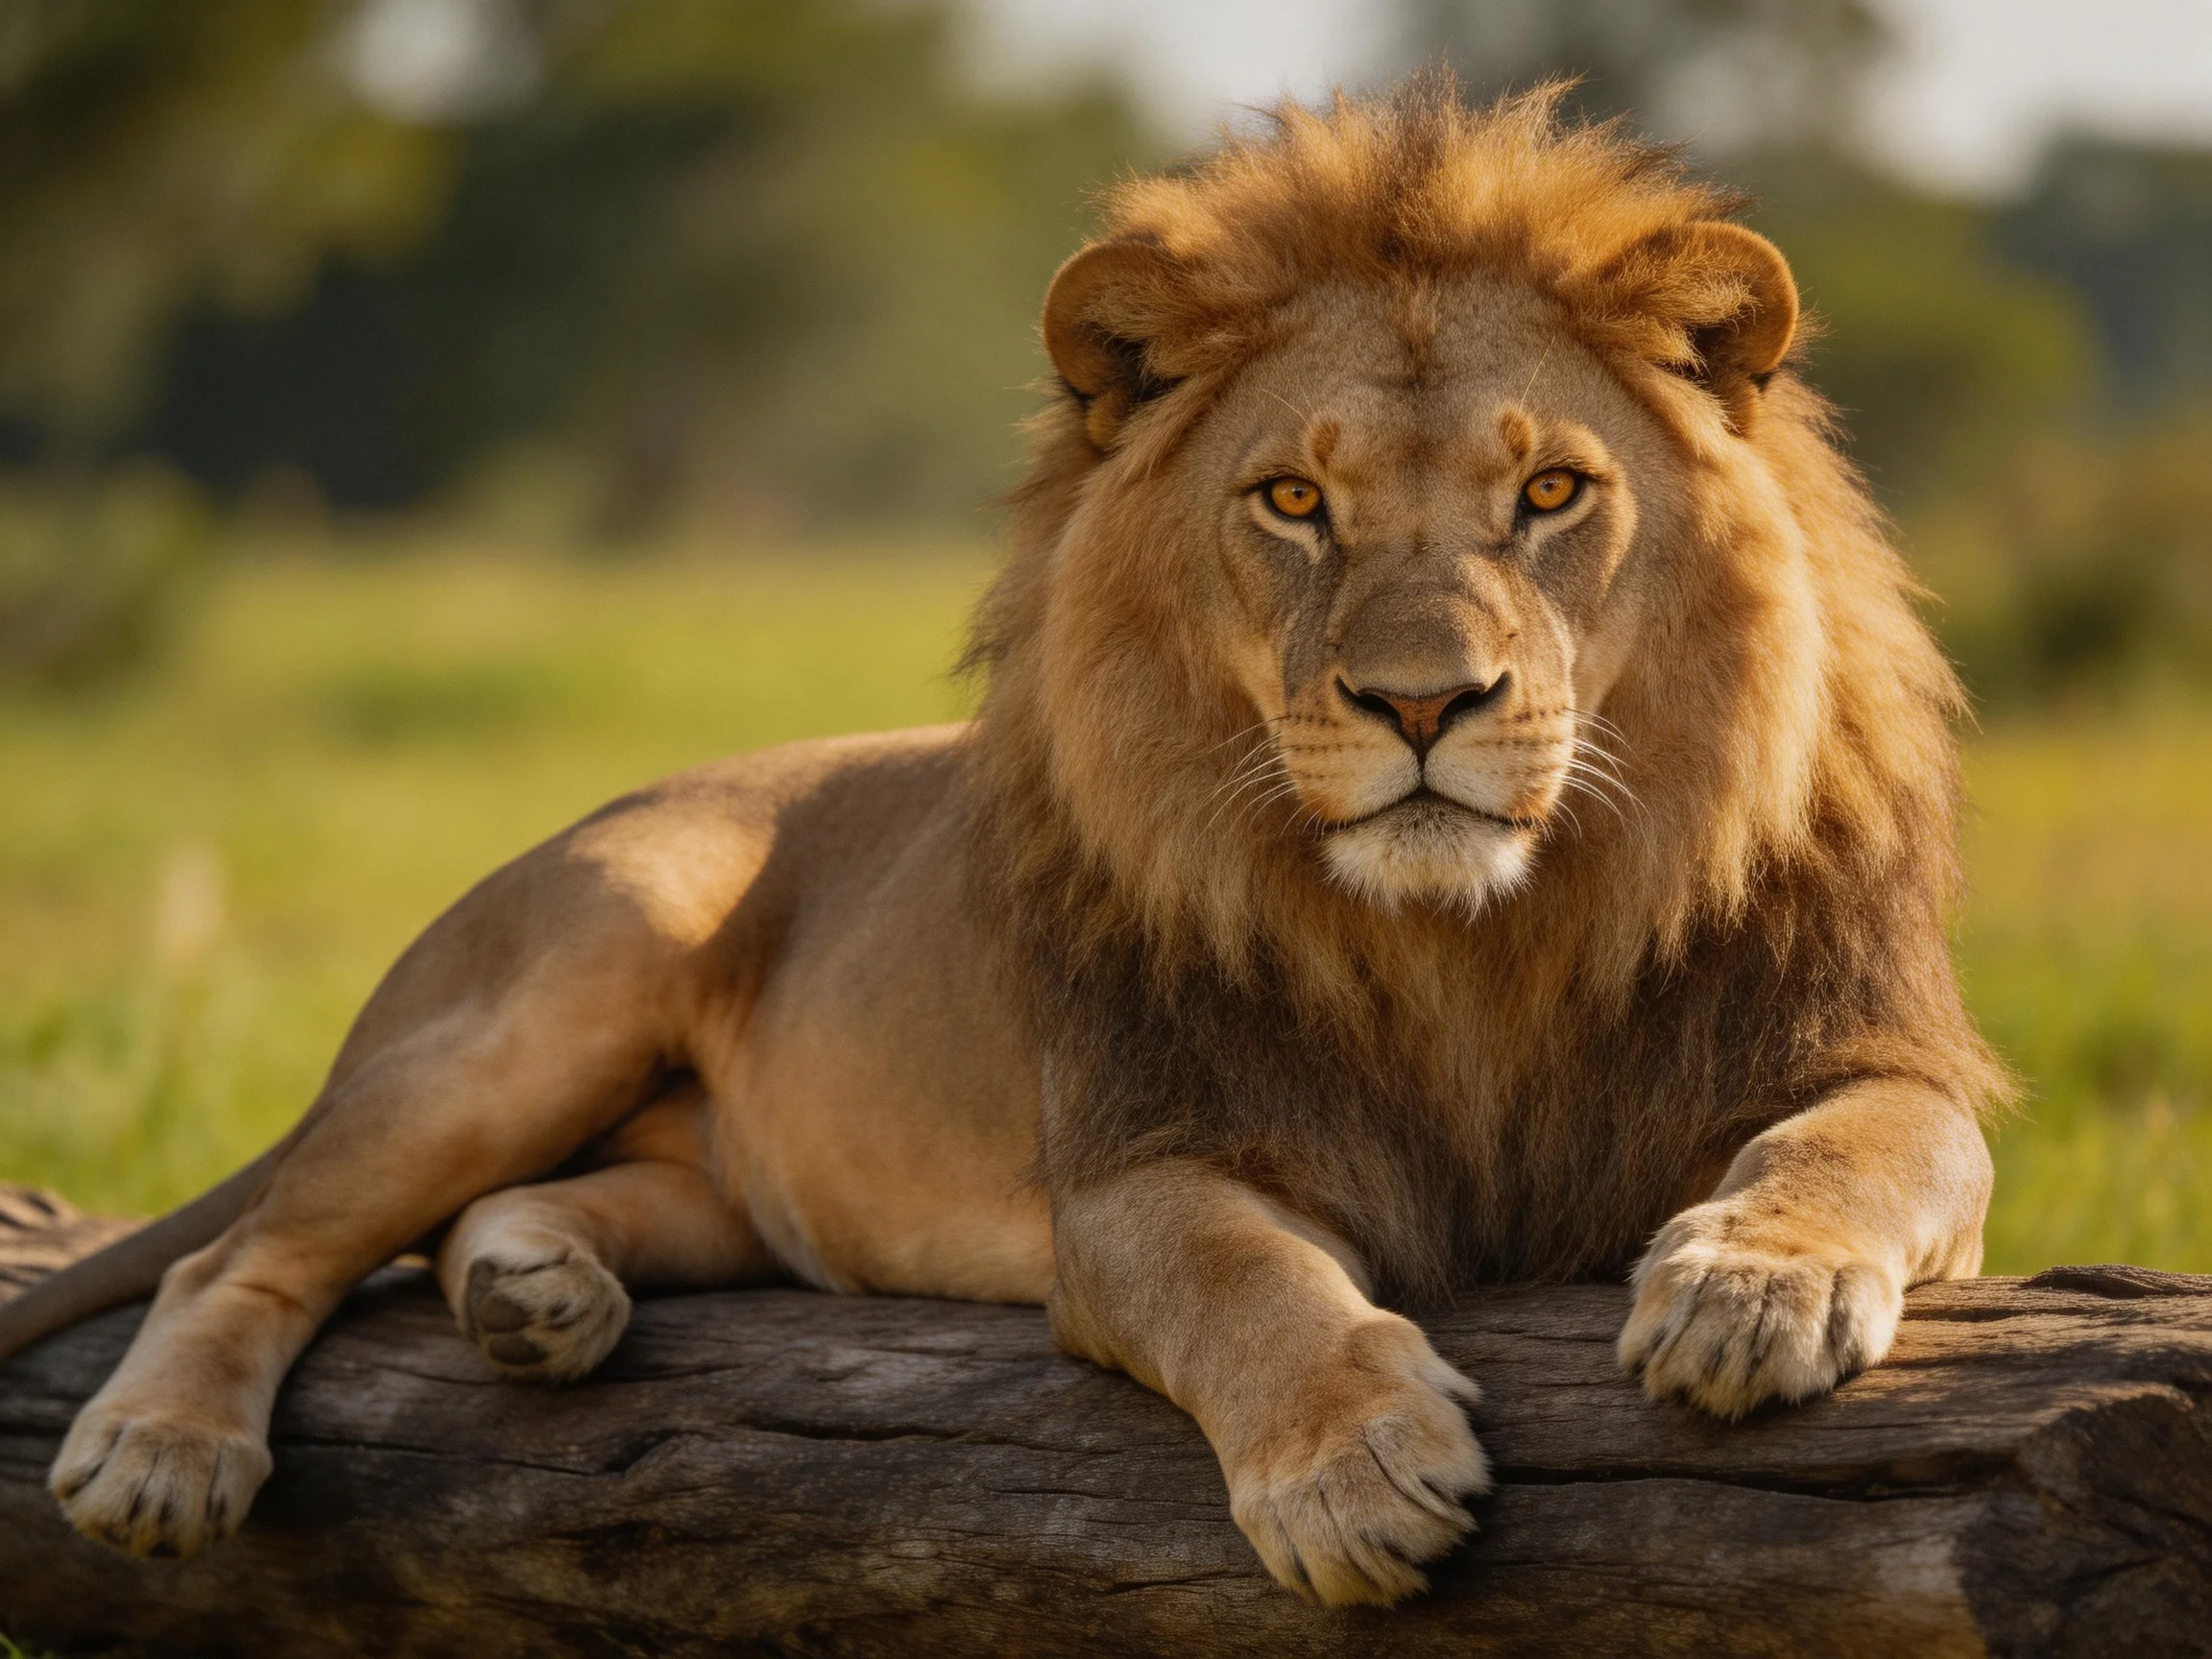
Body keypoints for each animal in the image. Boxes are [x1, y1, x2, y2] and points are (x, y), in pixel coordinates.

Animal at [0, 82, 2003, 1607]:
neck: (1475, 944)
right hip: (554, 985)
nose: (1420, 702)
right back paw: (161, 1448)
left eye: (1551, 492)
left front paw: (1746, 1291)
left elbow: (1865, 1148)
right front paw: (1355, 1466)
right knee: (245, 1254)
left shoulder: (1877, 1060)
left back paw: (534, 1295)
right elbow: (1242, 1280)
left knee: (502, 1225)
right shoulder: (1131, 1163)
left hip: (697, 1172)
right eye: (1293, 500)